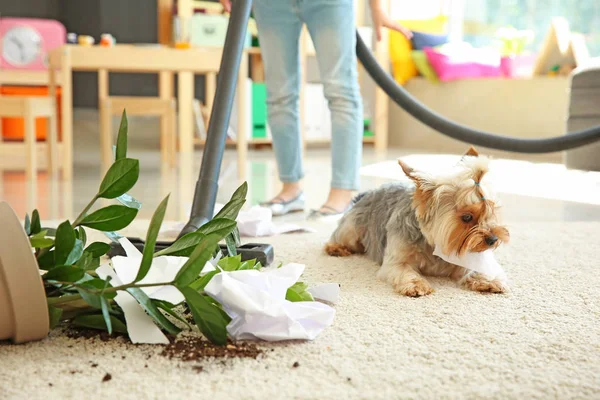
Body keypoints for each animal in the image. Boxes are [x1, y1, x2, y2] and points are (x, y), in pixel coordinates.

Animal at [326, 148, 508, 296]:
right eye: (467, 217)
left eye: (491, 210)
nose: (493, 240)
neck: (434, 245)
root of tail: (367, 193)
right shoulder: (396, 262)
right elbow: (405, 270)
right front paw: (416, 285)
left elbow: (474, 269)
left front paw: (488, 280)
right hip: (352, 229)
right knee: (340, 236)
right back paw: (336, 248)